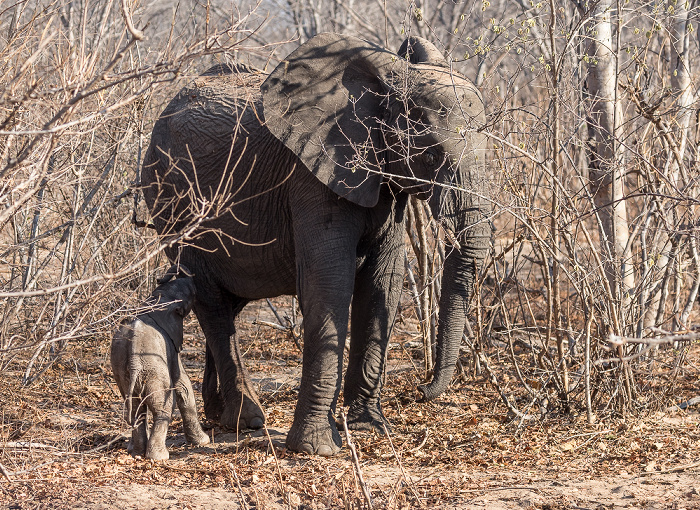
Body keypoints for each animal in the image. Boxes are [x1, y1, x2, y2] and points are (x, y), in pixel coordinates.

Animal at [110, 266, 209, 462]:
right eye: (191, 293)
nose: (191, 277)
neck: (160, 299)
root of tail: (134, 360)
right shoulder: (171, 345)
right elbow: (182, 385)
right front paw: (204, 442)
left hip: (123, 370)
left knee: (135, 409)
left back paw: (136, 452)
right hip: (153, 368)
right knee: (163, 407)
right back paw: (158, 457)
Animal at [141, 32, 492, 454]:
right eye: (429, 153)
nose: (421, 390)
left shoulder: (383, 180)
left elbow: (382, 284)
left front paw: (369, 429)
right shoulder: (312, 175)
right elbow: (330, 283)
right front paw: (316, 448)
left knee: (225, 299)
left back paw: (220, 416)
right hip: (173, 202)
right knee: (212, 303)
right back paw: (247, 419)